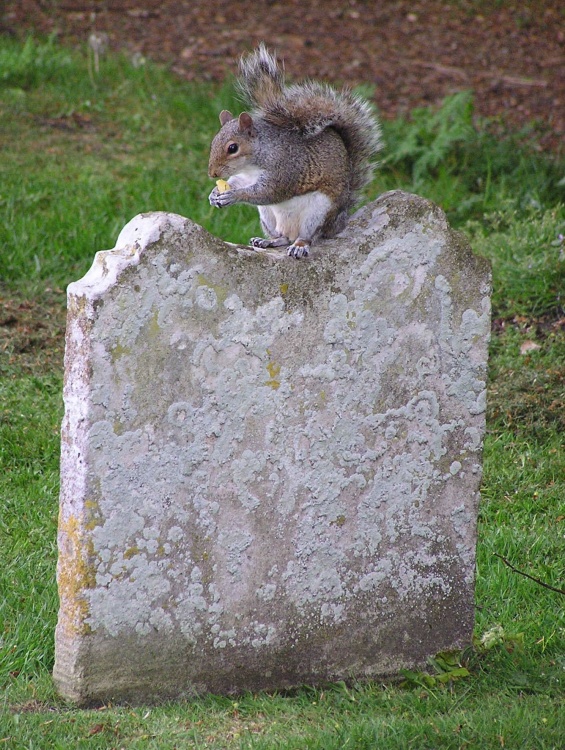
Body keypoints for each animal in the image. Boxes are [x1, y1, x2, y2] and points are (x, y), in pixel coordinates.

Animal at [208, 45, 384, 262]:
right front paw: (214, 194)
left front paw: (233, 195)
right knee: (283, 237)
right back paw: (268, 241)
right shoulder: (245, 177)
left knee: (309, 236)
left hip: (318, 212)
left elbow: (268, 192)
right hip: (268, 216)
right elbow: (238, 182)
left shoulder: (285, 170)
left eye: (232, 148)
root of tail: (338, 222)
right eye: (213, 142)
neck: (254, 162)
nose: (212, 174)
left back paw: (299, 246)